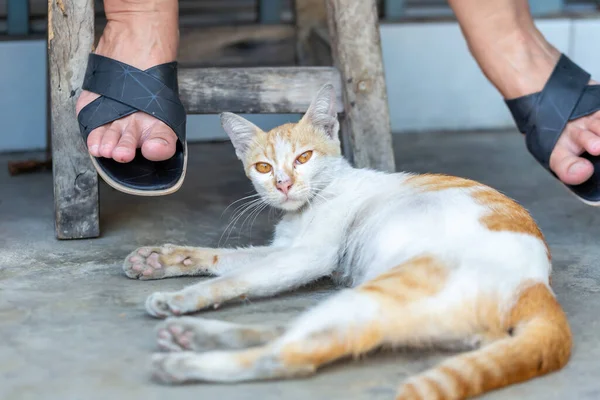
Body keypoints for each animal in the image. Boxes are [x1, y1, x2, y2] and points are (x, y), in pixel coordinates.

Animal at [123, 83, 572, 398]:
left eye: (304, 158)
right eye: (264, 168)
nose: (284, 184)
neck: (305, 208)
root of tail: (537, 287)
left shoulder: (308, 256)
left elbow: (236, 278)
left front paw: (182, 296)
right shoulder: (283, 251)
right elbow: (227, 259)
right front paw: (161, 261)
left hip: (389, 287)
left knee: (292, 356)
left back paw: (182, 363)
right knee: (299, 332)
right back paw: (193, 336)